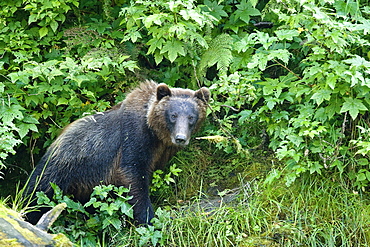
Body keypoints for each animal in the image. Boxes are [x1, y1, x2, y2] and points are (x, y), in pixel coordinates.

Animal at [25, 80, 211, 226]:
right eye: (173, 115)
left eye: (191, 117)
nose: (180, 138)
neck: (155, 133)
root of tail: (54, 143)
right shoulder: (134, 137)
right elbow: (133, 173)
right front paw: (148, 217)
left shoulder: (160, 151)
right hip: (63, 169)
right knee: (37, 193)